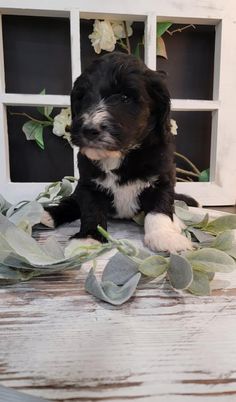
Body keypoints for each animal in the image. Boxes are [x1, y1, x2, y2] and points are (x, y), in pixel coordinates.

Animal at [41, 50, 196, 251]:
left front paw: (164, 235)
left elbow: (159, 207)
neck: (118, 155)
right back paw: (50, 215)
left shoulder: (162, 177)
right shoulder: (88, 184)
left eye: (124, 98)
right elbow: (91, 211)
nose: (89, 129)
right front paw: (87, 239)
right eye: (82, 97)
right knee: (73, 202)